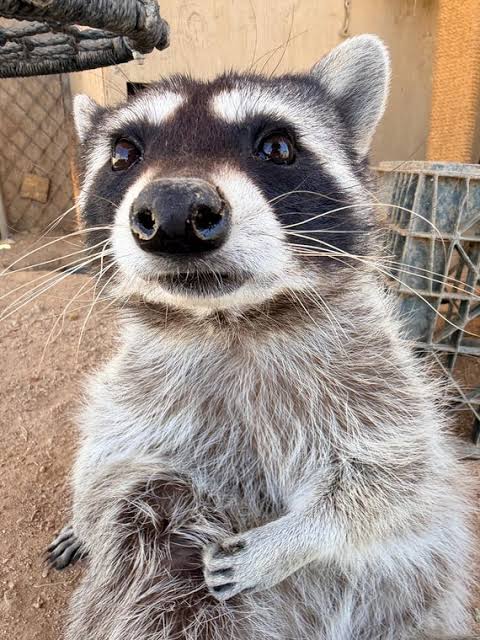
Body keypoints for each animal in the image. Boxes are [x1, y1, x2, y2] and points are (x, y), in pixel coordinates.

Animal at [48, 35, 474, 640]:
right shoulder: (134, 390)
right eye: (123, 155)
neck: (229, 321)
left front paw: (298, 536)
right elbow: (107, 464)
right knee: (150, 517)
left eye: (277, 147)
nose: (175, 212)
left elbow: (392, 476)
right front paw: (84, 517)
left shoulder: (378, 376)